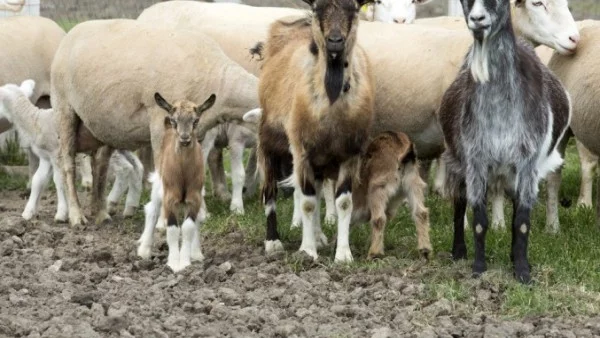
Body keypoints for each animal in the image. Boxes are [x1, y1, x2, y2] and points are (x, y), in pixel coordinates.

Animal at [0, 79, 144, 222]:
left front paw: (61, 214)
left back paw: (112, 204)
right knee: (137, 167)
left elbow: (59, 180)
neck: (36, 120)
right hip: (122, 147)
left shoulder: (56, 153)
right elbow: (38, 180)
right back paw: (130, 207)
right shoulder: (46, 157)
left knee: (124, 168)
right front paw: (28, 213)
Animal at [50, 18, 258, 226]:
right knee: (68, 164)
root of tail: (72, 32)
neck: (219, 81)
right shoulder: (160, 121)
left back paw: (100, 212)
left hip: (102, 124)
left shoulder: (197, 132)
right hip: (64, 108)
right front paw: (164, 221)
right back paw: (76, 215)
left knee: (100, 164)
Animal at [258, 0, 376, 262]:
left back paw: (320, 235)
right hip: (268, 140)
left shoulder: (350, 154)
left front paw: (343, 254)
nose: (335, 41)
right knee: (270, 190)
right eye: (317, 8)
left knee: (319, 192)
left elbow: (343, 203)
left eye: (354, 9)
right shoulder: (301, 151)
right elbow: (308, 203)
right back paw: (273, 242)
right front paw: (307, 251)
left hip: (320, 159)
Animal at [436, 0, 572, 286]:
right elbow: (478, 220)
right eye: (465, 1)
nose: (477, 19)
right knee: (459, 204)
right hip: (457, 161)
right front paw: (478, 269)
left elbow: (521, 221)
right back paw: (458, 252)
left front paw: (522, 272)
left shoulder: (527, 163)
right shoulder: (475, 160)